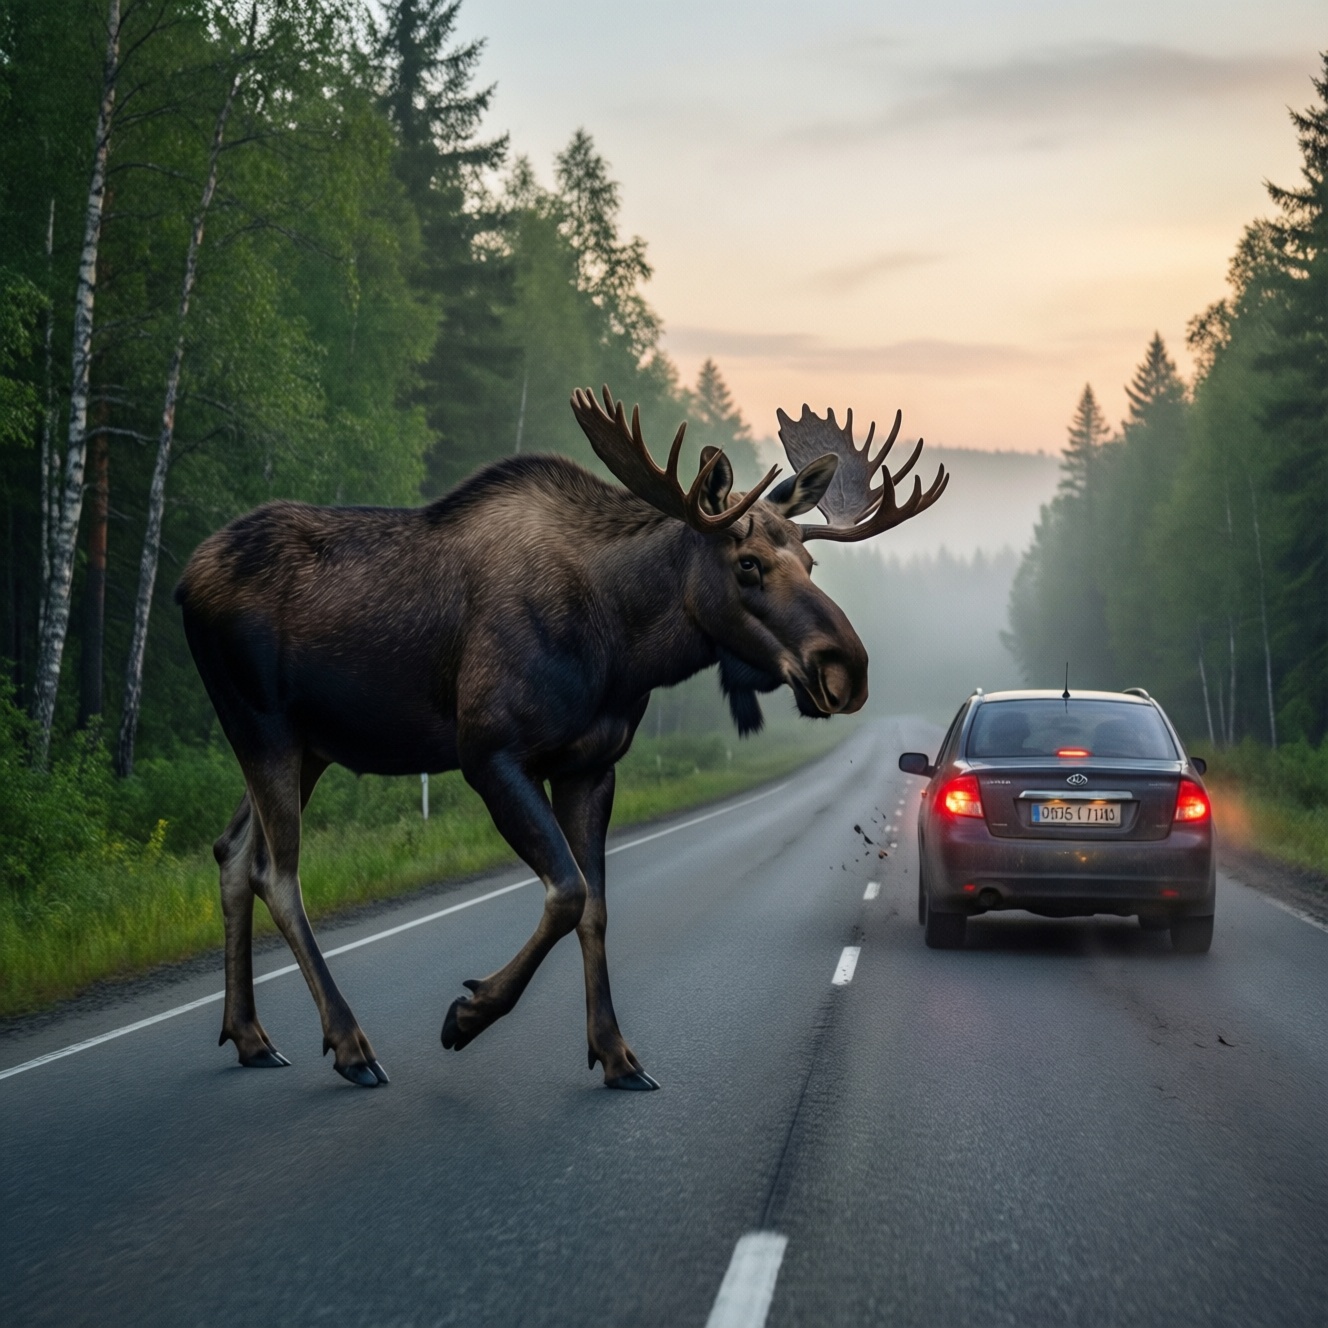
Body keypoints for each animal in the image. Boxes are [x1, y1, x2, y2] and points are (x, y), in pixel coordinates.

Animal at [175, 387, 947, 1089]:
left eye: (811, 566)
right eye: (748, 563)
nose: (847, 669)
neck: (624, 644)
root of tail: (184, 579)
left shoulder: (591, 766)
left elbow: (597, 906)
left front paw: (616, 1054)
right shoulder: (489, 755)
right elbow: (568, 891)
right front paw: (468, 1014)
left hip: (310, 745)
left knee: (232, 852)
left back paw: (251, 1036)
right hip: (262, 724)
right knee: (277, 872)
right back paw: (350, 1044)